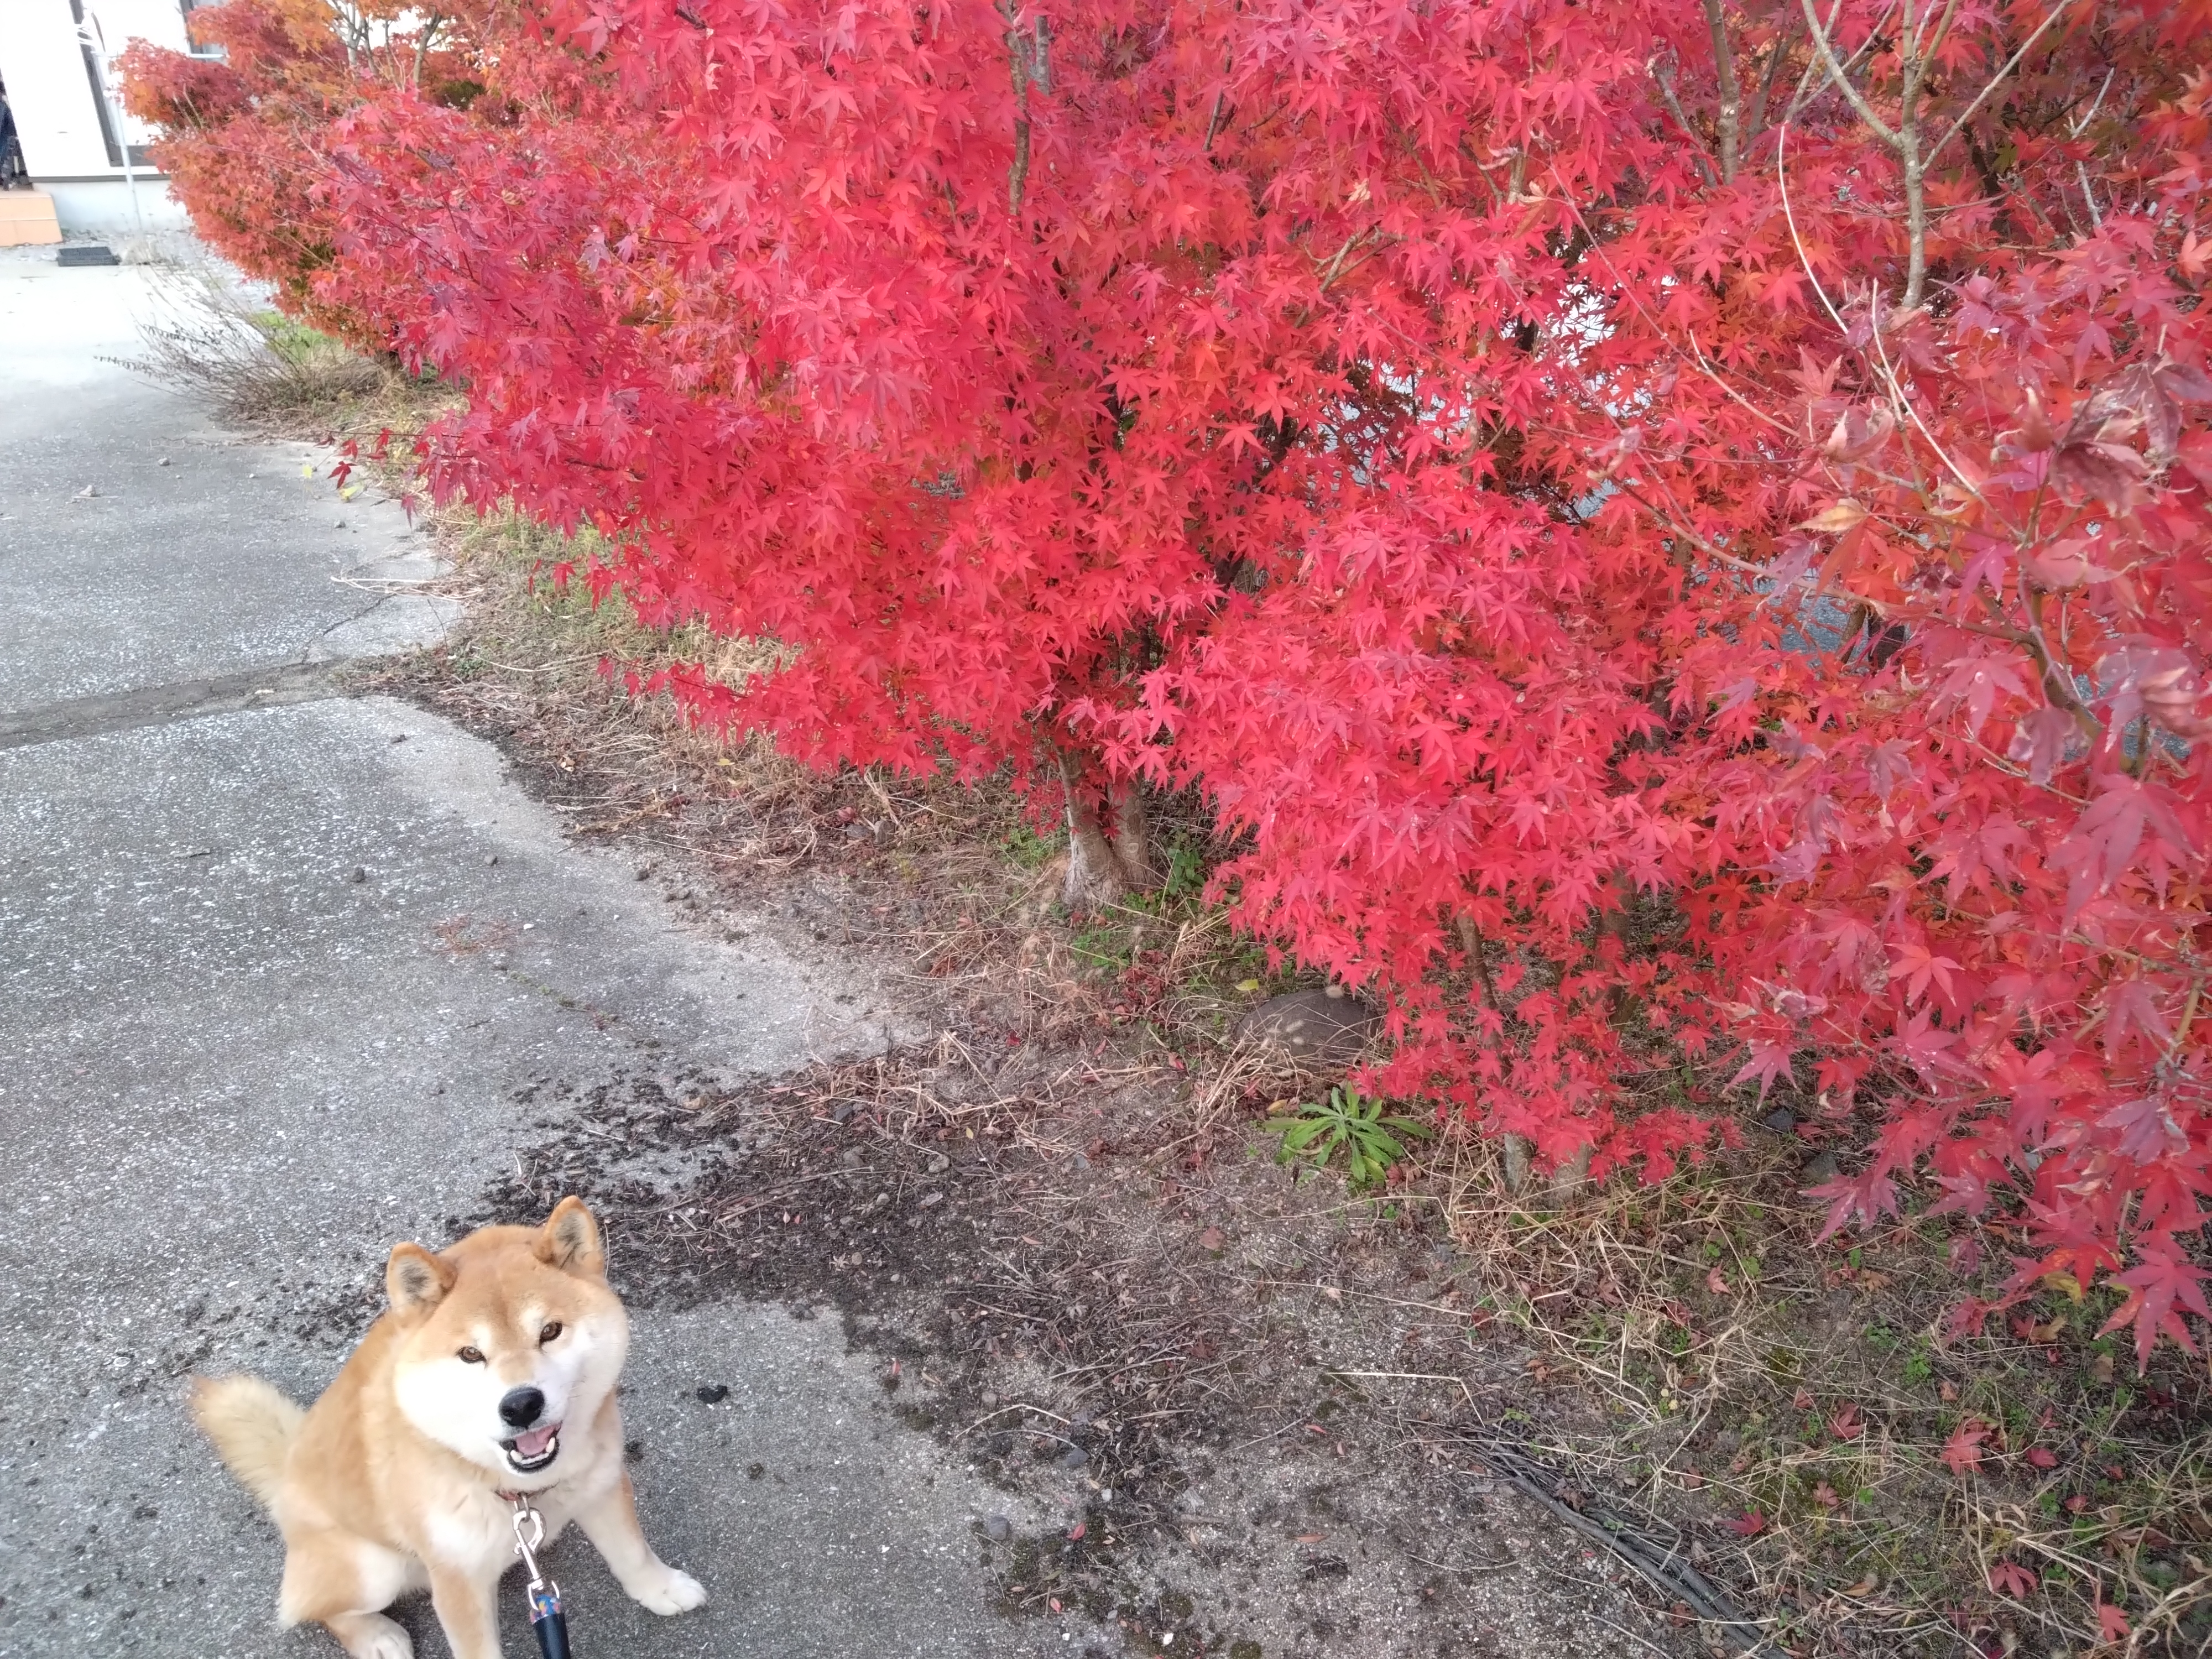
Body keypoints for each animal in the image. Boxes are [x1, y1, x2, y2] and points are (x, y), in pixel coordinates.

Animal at [198, 1203, 703, 1659]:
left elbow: (632, 1552)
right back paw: (375, 1637)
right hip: (373, 1568)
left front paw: (661, 1588)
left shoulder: (602, 1486)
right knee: (318, 1610)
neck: (518, 1490)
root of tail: (287, 1474)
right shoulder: (457, 1581)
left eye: (551, 1331)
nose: (521, 1405)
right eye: (470, 1354)